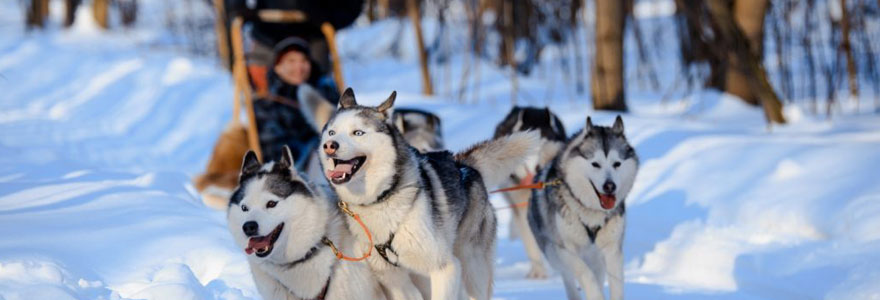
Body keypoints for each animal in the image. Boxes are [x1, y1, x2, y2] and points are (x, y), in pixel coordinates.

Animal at [316, 88, 536, 300]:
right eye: (332, 132)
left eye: (358, 132)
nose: (330, 145)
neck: (382, 198)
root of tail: (463, 165)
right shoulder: (393, 279)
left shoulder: (445, 268)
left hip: (472, 269)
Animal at [524, 116, 636, 298]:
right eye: (595, 164)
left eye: (617, 164)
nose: (609, 186)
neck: (591, 212)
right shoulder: (564, 249)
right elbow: (585, 273)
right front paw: (595, 295)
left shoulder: (612, 250)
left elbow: (615, 285)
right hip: (554, 256)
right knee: (569, 278)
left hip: (596, 257)